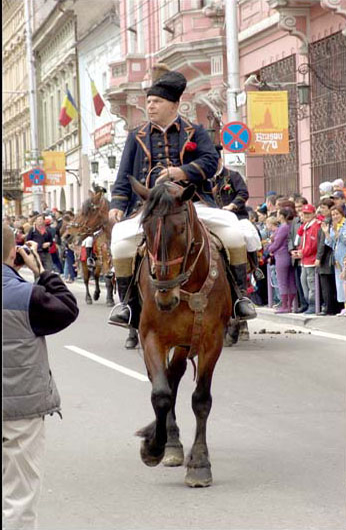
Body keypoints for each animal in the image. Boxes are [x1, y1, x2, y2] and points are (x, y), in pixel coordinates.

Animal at [132, 178, 232, 486]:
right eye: (145, 229)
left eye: (181, 229)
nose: (164, 296)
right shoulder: (151, 337)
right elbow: (160, 393)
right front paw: (154, 447)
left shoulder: (212, 342)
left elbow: (200, 399)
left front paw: (199, 463)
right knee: (165, 381)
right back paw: (169, 441)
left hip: (186, 343)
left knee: (174, 376)